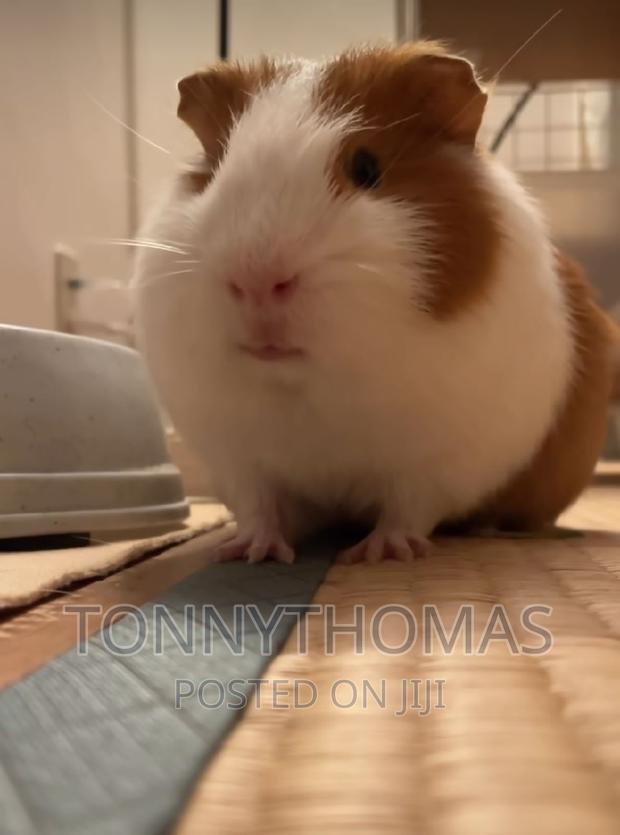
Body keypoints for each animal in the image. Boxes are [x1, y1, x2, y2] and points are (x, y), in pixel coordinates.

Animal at [132, 42, 618, 565]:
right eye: (219, 167)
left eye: (366, 169)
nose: (256, 279)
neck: (308, 389)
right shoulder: (237, 458)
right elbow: (260, 508)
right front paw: (250, 554)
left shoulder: (441, 461)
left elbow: (407, 509)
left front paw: (377, 555)